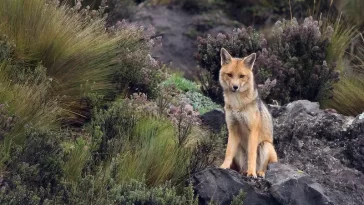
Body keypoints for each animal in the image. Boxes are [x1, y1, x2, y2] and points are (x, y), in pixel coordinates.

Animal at [218, 47, 278, 178]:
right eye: (230, 74)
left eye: (241, 76)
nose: (235, 87)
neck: (237, 104)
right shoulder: (232, 129)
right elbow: (228, 152)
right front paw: (223, 167)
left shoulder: (253, 130)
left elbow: (252, 155)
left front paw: (251, 173)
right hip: (239, 147)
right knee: (241, 167)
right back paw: (244, 171)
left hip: (265, 146)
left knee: (265, 167)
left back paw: (258, 173)